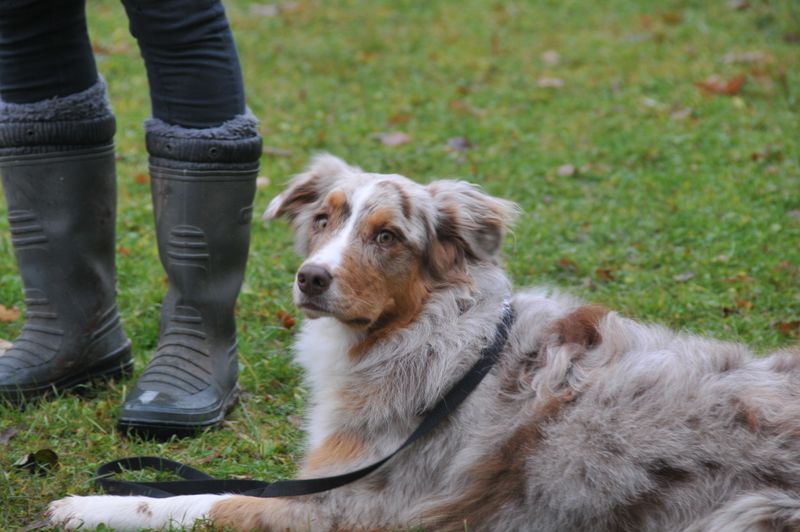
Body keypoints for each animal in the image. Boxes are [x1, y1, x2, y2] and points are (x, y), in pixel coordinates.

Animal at [49, 155, 800, 531]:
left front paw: (87, 508)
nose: (311, 278)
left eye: (387, 236)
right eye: (323, 219)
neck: (435, 336)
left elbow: (197, 502)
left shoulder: (355, 506)